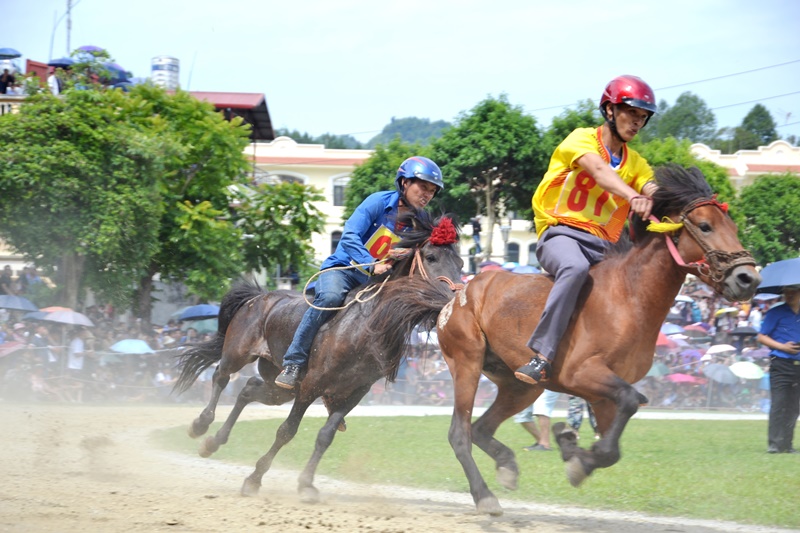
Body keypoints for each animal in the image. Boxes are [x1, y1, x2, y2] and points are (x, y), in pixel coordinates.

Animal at [174, 211, 462, 498]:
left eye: (460, 262)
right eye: (431, 257)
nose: (455, 298)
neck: (364, 324)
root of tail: (257, 298)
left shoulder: (355, 391)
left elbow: (326, 436)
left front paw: (306, 483)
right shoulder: (311, 385)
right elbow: (287, 431)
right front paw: (254, 479)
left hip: (278, 385)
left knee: (248, 389)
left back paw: (213, 441)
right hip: (239, 354)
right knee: (220, 376)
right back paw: (201, 424)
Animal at [434, 165, 760, 516]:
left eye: (734, 226)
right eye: (705, 226)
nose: (748, 278)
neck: (629, 296)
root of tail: (460, 290)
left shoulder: (603, 395)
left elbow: (612, 446)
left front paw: (571, 449)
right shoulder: (582, 373)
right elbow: (629, 401)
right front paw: (574, 452)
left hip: (520, 385)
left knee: (482, 428)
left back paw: (508, 465)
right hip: (467, 362)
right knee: (460, 434)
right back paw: (484, 495)